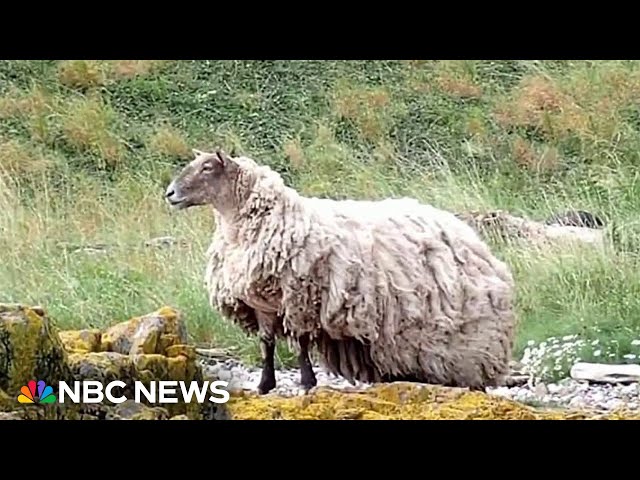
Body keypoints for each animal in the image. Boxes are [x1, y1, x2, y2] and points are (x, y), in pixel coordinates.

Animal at [164, 149, 516, 394]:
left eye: (207, 168)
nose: (169, 193)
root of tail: (474, 240)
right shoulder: (261, 303)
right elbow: (267, 344)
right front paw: (265, 385)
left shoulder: (299, 297)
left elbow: (301, 343)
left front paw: (307, 382)